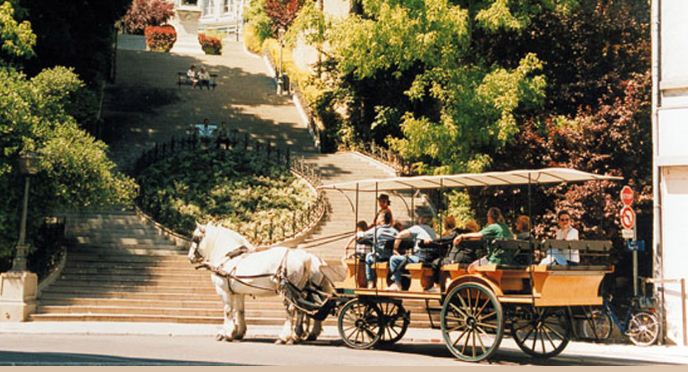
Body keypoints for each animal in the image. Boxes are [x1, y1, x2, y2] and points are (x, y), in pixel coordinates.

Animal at [185, 222, 330, 344]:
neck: (228, 258)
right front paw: (238, 332)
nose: (190, 257)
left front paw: (226, 333)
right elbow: (240, 311)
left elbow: (228, 311)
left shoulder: (223, 291)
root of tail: (304, 258)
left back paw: (284, 337)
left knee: (291, 310)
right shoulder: (238, 292)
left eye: (194, 238)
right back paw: (297, 335)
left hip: (288, 290)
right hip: (299, 290)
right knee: (301, 310)